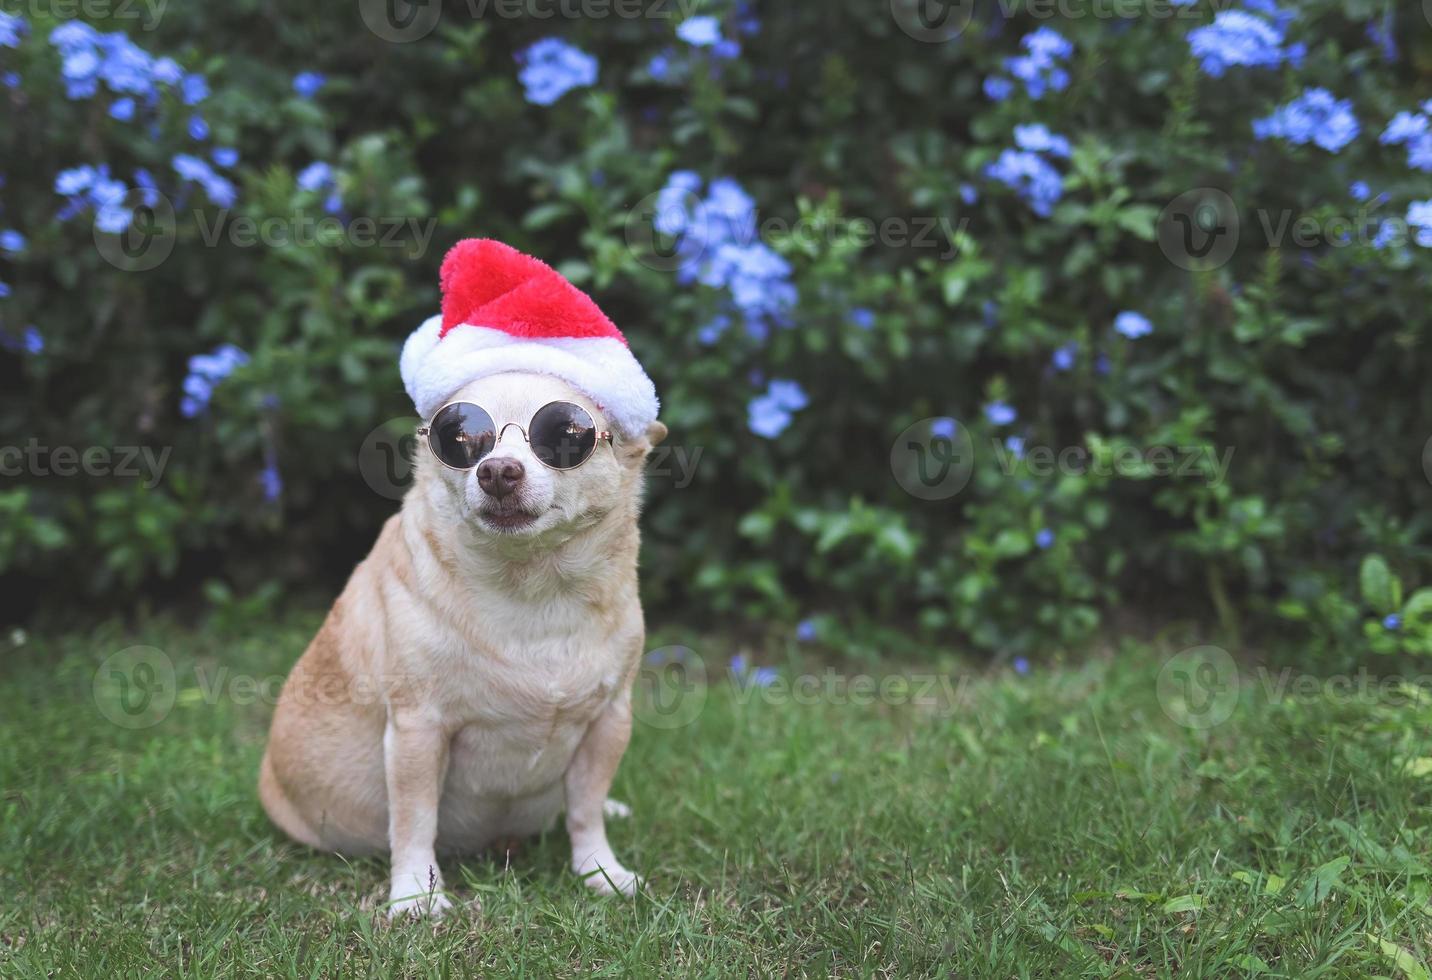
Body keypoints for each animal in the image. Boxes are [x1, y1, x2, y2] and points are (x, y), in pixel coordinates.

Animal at [262, 369, 664, 916]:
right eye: (459, 438)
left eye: (566, 435)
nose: (496, 470)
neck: (533, 587)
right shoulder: (418, 730)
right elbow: (415, 818)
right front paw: (416, 893)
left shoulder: (608, 722)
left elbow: (585, 809)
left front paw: (600, 871)